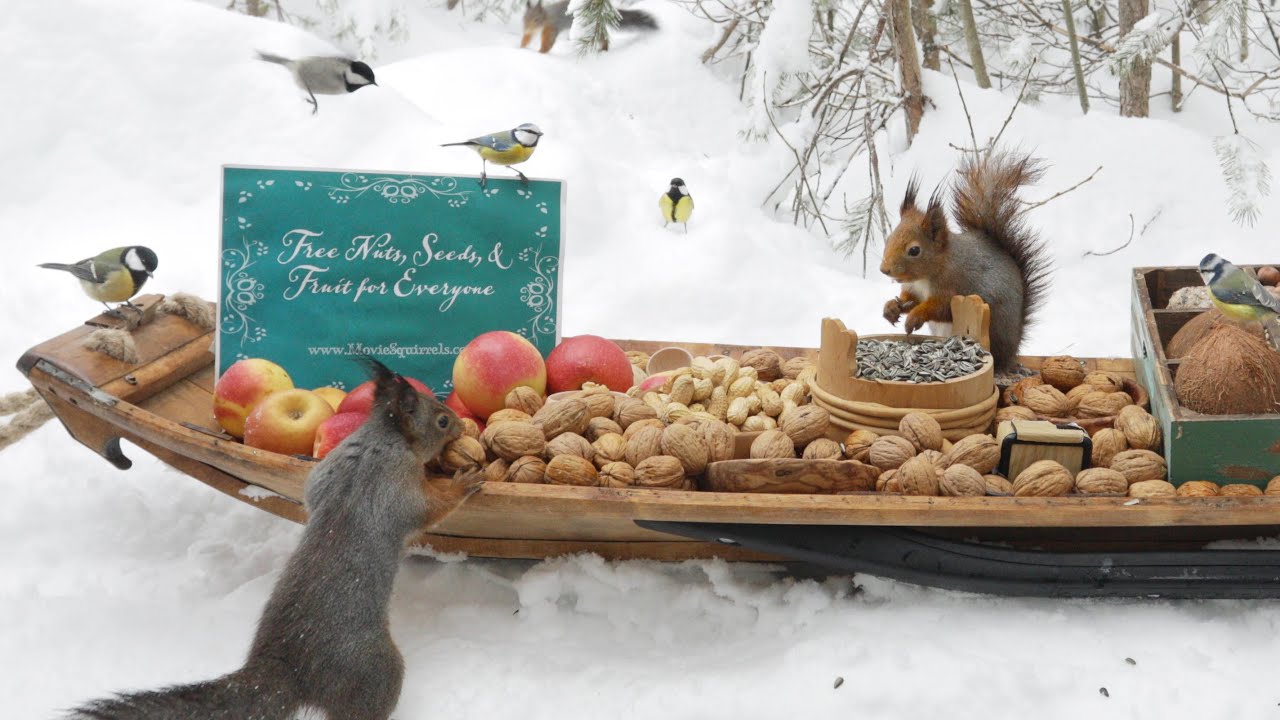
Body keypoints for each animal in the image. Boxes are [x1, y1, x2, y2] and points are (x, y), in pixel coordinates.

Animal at [66, 359, 482, 720]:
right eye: (442, 419)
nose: (461, 428)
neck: (381, 438)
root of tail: (287, 666)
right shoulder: (394, 485)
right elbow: (428, 511)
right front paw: (464, 482)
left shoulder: (325, 475)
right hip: (373, 672)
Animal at [880, 150, 1052, 371]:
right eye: (889, 238)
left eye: (914, 250)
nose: (884, 269)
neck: (928, 274)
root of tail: (1012, 351)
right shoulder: (914, 289)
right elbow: (911, 299)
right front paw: (892, 307)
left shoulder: (956, 285)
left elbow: (941, 308)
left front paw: (915, 316)